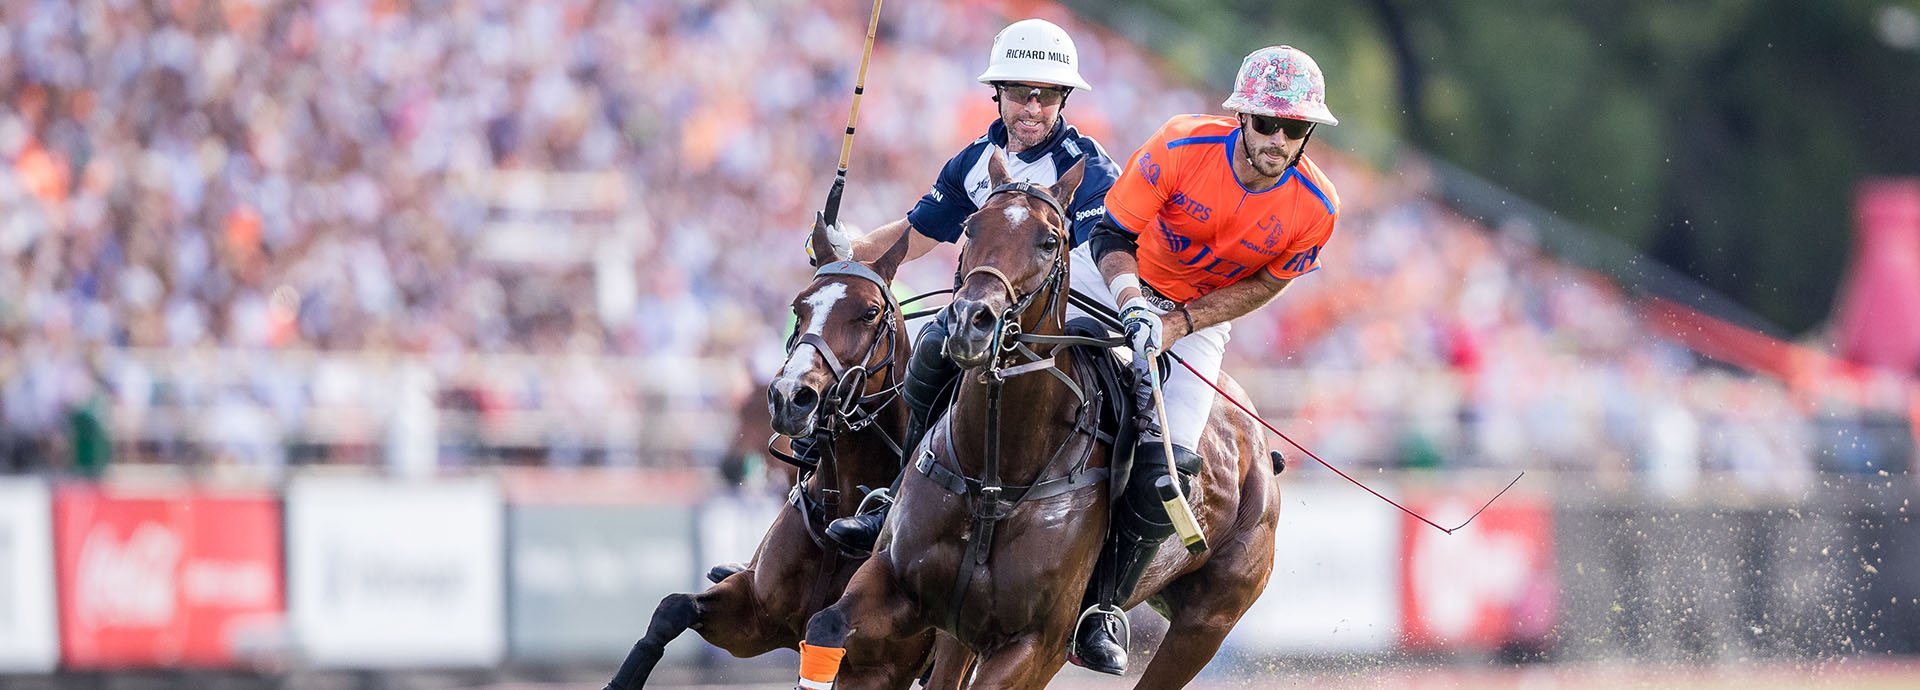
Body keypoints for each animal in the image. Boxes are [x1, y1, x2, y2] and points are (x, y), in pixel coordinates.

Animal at [603, 225, 956, 689]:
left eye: (870, 312)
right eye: (798, 306)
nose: (791, 396)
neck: (839, 511)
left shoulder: (878, 670)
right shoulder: (754, 616)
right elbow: (673, 607)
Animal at [794, 151, 1283, 690]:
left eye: (1050, 240)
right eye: (970, 226)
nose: (970, 322)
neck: (995, 473)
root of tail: (1262, 449)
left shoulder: (1036, 645)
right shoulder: (897, 587)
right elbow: (825, 624)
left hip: (1208, 620)